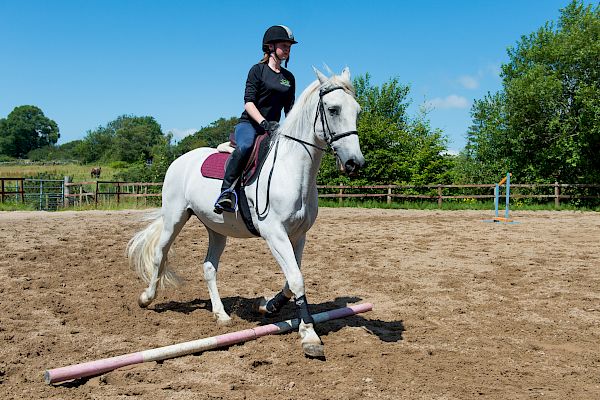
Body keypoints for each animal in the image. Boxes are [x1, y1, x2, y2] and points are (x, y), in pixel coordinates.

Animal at [127, 67, 366, 358]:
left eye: (357, 111)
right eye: (333, 110)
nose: (355, 163)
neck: (291, 170)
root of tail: (180, 159)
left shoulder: (298, 235)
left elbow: (292, 279)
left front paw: (268, 306)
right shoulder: (275, 234)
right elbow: (297, 279)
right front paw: (309, 336)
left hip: (216, 228)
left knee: (209, 267)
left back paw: (221, 314)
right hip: (175, 217)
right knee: (160, 255)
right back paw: (146, 298)